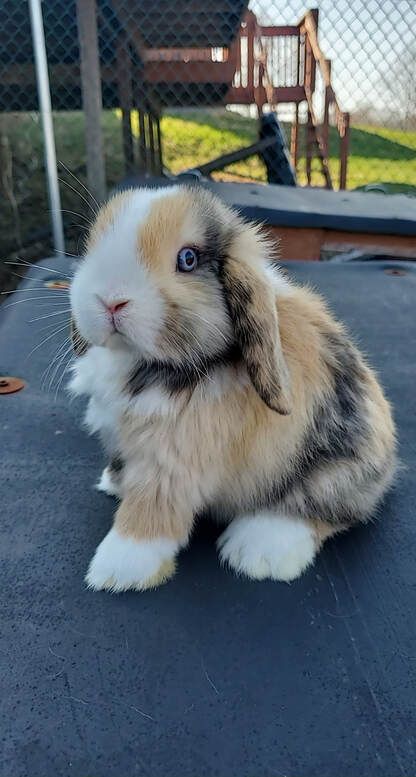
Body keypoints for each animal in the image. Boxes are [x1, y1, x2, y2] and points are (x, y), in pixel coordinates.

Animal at [68, 185, 396, 592]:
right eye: (94, 243)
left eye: (188, 259)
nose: (110, 300)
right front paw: (114, 482)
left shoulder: (172, 461)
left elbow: (148, 510)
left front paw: (116, 571)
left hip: (330, 473)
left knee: (321, 509)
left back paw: (256, 552)